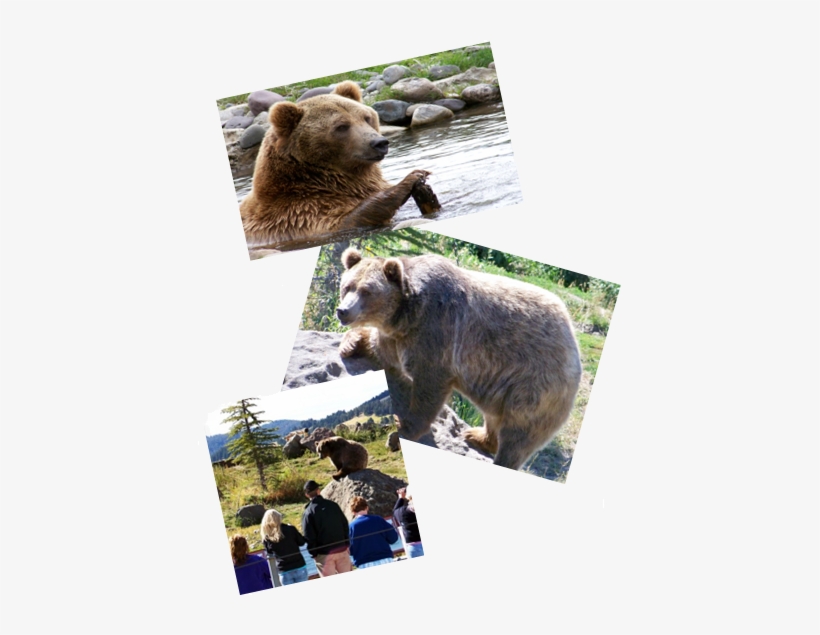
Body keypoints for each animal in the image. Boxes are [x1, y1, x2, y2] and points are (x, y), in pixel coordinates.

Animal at [239, 80, 433, 249]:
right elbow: (343, 222)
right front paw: (409, 179)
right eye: (341, 126)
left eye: (367, 117)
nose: (379, 143)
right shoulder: (298, 215)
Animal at [335, 248, 583, 471]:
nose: (342, 311)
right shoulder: (397, 337)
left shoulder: (436, 330)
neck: (406, 313)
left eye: (367, 291)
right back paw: (477, 435)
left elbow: (428, 384)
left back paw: (499, 455)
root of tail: (572, 340)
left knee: (519, 433)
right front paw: (350, 343)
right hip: (502, 387)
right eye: (347, 286)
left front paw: (401, 430)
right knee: (495, 417)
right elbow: (381, 351)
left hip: (536, 384)